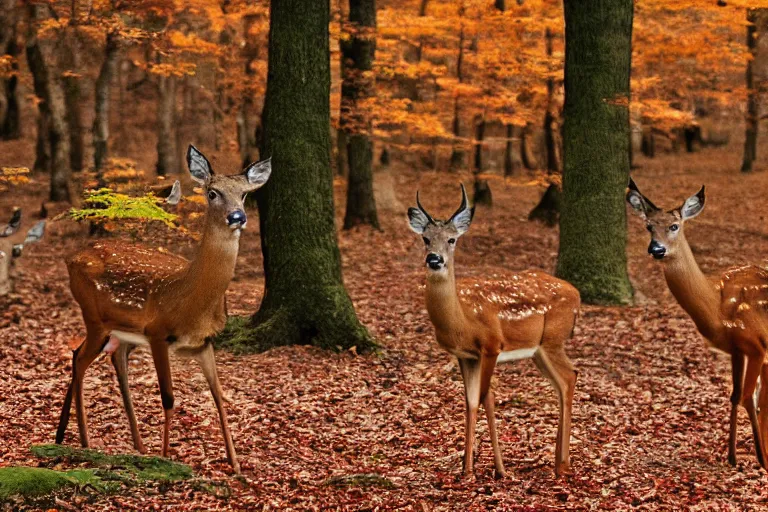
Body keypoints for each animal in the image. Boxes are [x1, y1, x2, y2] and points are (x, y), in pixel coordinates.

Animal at [54, 146, 270, 474]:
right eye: (212, 193)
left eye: (244, 194)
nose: (237, 217)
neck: (191, 301)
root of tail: (71, 258)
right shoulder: (158, 334)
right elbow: (168, 397)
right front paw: (167, 458)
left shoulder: (205, 342)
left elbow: (218, 396)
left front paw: (235, 465)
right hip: (94, 317)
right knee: (79, 359)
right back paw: (85, 442)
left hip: (123, 332)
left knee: (112, 360)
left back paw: (133, 445)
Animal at [404, 184, 580, 476]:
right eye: (425, 239)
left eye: (452, 240)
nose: (434, 259)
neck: (461, 320)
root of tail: (578, 296)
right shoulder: (465, 355)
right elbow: (471, 401)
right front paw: (466, 468)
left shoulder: (491, 345)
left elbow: (486, 397)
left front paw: (498, 469)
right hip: (538, 351)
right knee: (563, 381)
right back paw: (557, 460)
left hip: (553, 339)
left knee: (568, 377)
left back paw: (563, 464)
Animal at [628, 178, 768, 470]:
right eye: (648, 226)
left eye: (674, 226)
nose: (656, 249)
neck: (715, 305)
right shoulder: (736, 350)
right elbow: (736, 395)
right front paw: (732, 457)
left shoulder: (756, 344)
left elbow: (750, 398)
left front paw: (761, 461)